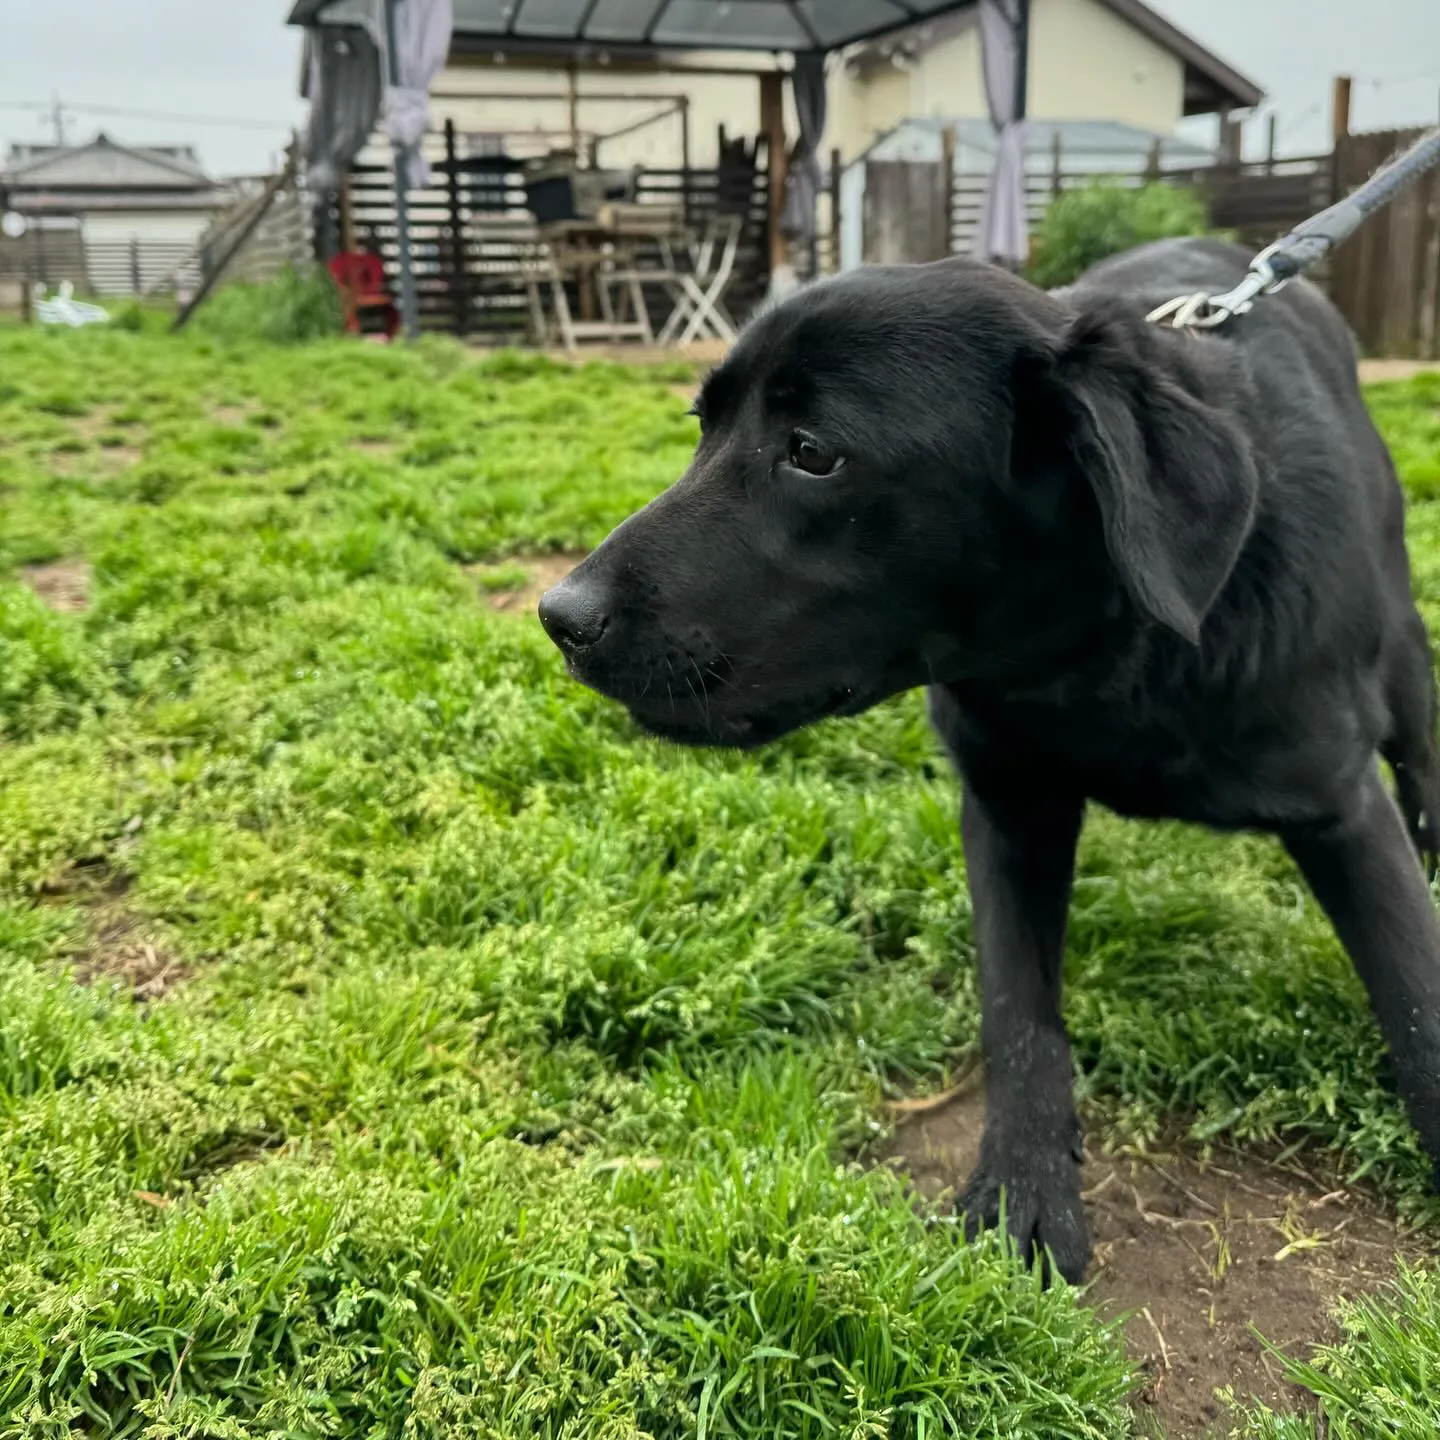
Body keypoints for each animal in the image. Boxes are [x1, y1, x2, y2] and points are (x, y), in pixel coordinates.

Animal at [541, 239, 1440, 1284]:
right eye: (703, 427)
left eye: (812, 451)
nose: (560, 617)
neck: (1107, 654)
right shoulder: (1008, 806)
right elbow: (1018, 1015)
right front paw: (1024, 1185)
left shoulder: (1344, 810)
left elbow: (1415, 996)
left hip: (1407, 674)